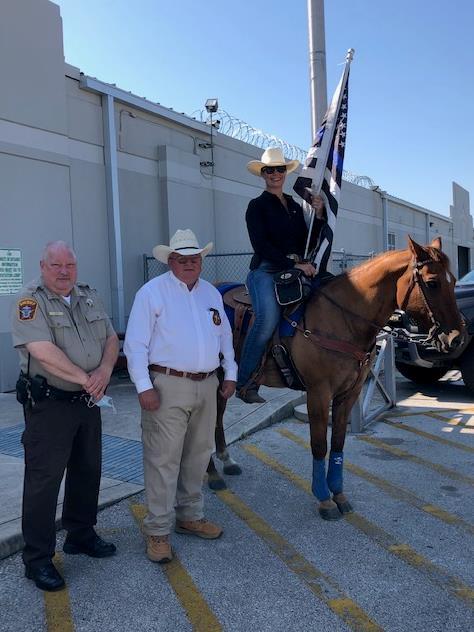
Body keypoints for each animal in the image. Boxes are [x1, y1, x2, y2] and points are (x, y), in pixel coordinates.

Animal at [207, 237, 462, 520]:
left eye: (453, 280)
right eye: (432, 282)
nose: (457, 338)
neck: (341, 319)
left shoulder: (349, 393)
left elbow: (338, 443)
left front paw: (338, 494)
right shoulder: (319, 393)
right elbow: (319, 444)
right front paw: (324, 499)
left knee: (217, 416)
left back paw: (226, 460)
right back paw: (212, 474)